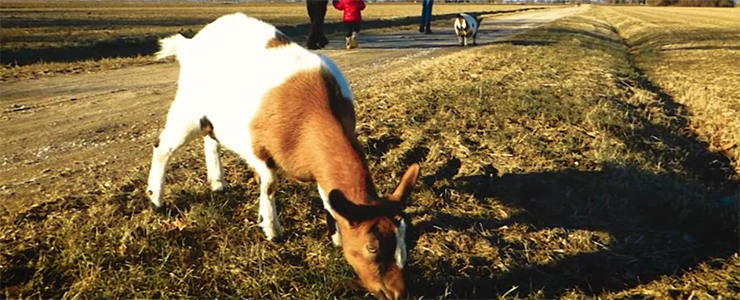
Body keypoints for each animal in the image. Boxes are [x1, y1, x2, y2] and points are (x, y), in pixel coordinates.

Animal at [147, 12, 420, 300]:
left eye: (405, 237)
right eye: (372, 246)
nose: (400, 293)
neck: (313, 112)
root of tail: (190, 43)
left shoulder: (321, 170)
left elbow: (328, 198)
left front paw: (335, 237)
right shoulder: (260, 152)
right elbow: (269, 185)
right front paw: (272, 231)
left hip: (212, 119)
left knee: (211, 140)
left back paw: (218, 184)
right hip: (188, 109)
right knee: (163, 147)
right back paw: (156, 200)